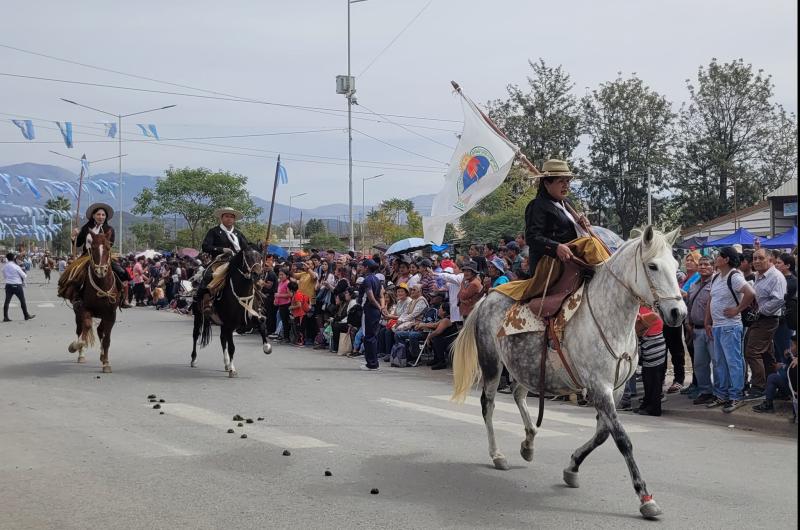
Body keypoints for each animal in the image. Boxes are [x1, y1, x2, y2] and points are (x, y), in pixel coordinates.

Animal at [67, 231, 118, 372]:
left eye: (108, 248)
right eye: (93, 248)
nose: (101, 270)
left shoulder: (111, 314)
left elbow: (107, 339)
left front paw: (106, 363)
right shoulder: (85, 309)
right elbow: (86, 328)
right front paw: (75, 346)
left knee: (100, 331)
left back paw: (102, 356)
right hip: (78, 312)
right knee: (81, 329)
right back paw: (81, 354)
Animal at [454, 225, 684, 516]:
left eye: (676, 266)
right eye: (652, 266)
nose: (678, 313)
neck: (610, 318)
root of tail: (487, 297)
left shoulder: (616, 389)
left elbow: (603, 434)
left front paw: (572, 466)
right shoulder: (599, 387)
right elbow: (621, 438)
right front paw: (645, 496)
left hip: (525, 365)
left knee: (518, 394)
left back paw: (529, 442)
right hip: (492, 363)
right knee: (489, 404)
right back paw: (497, 454)